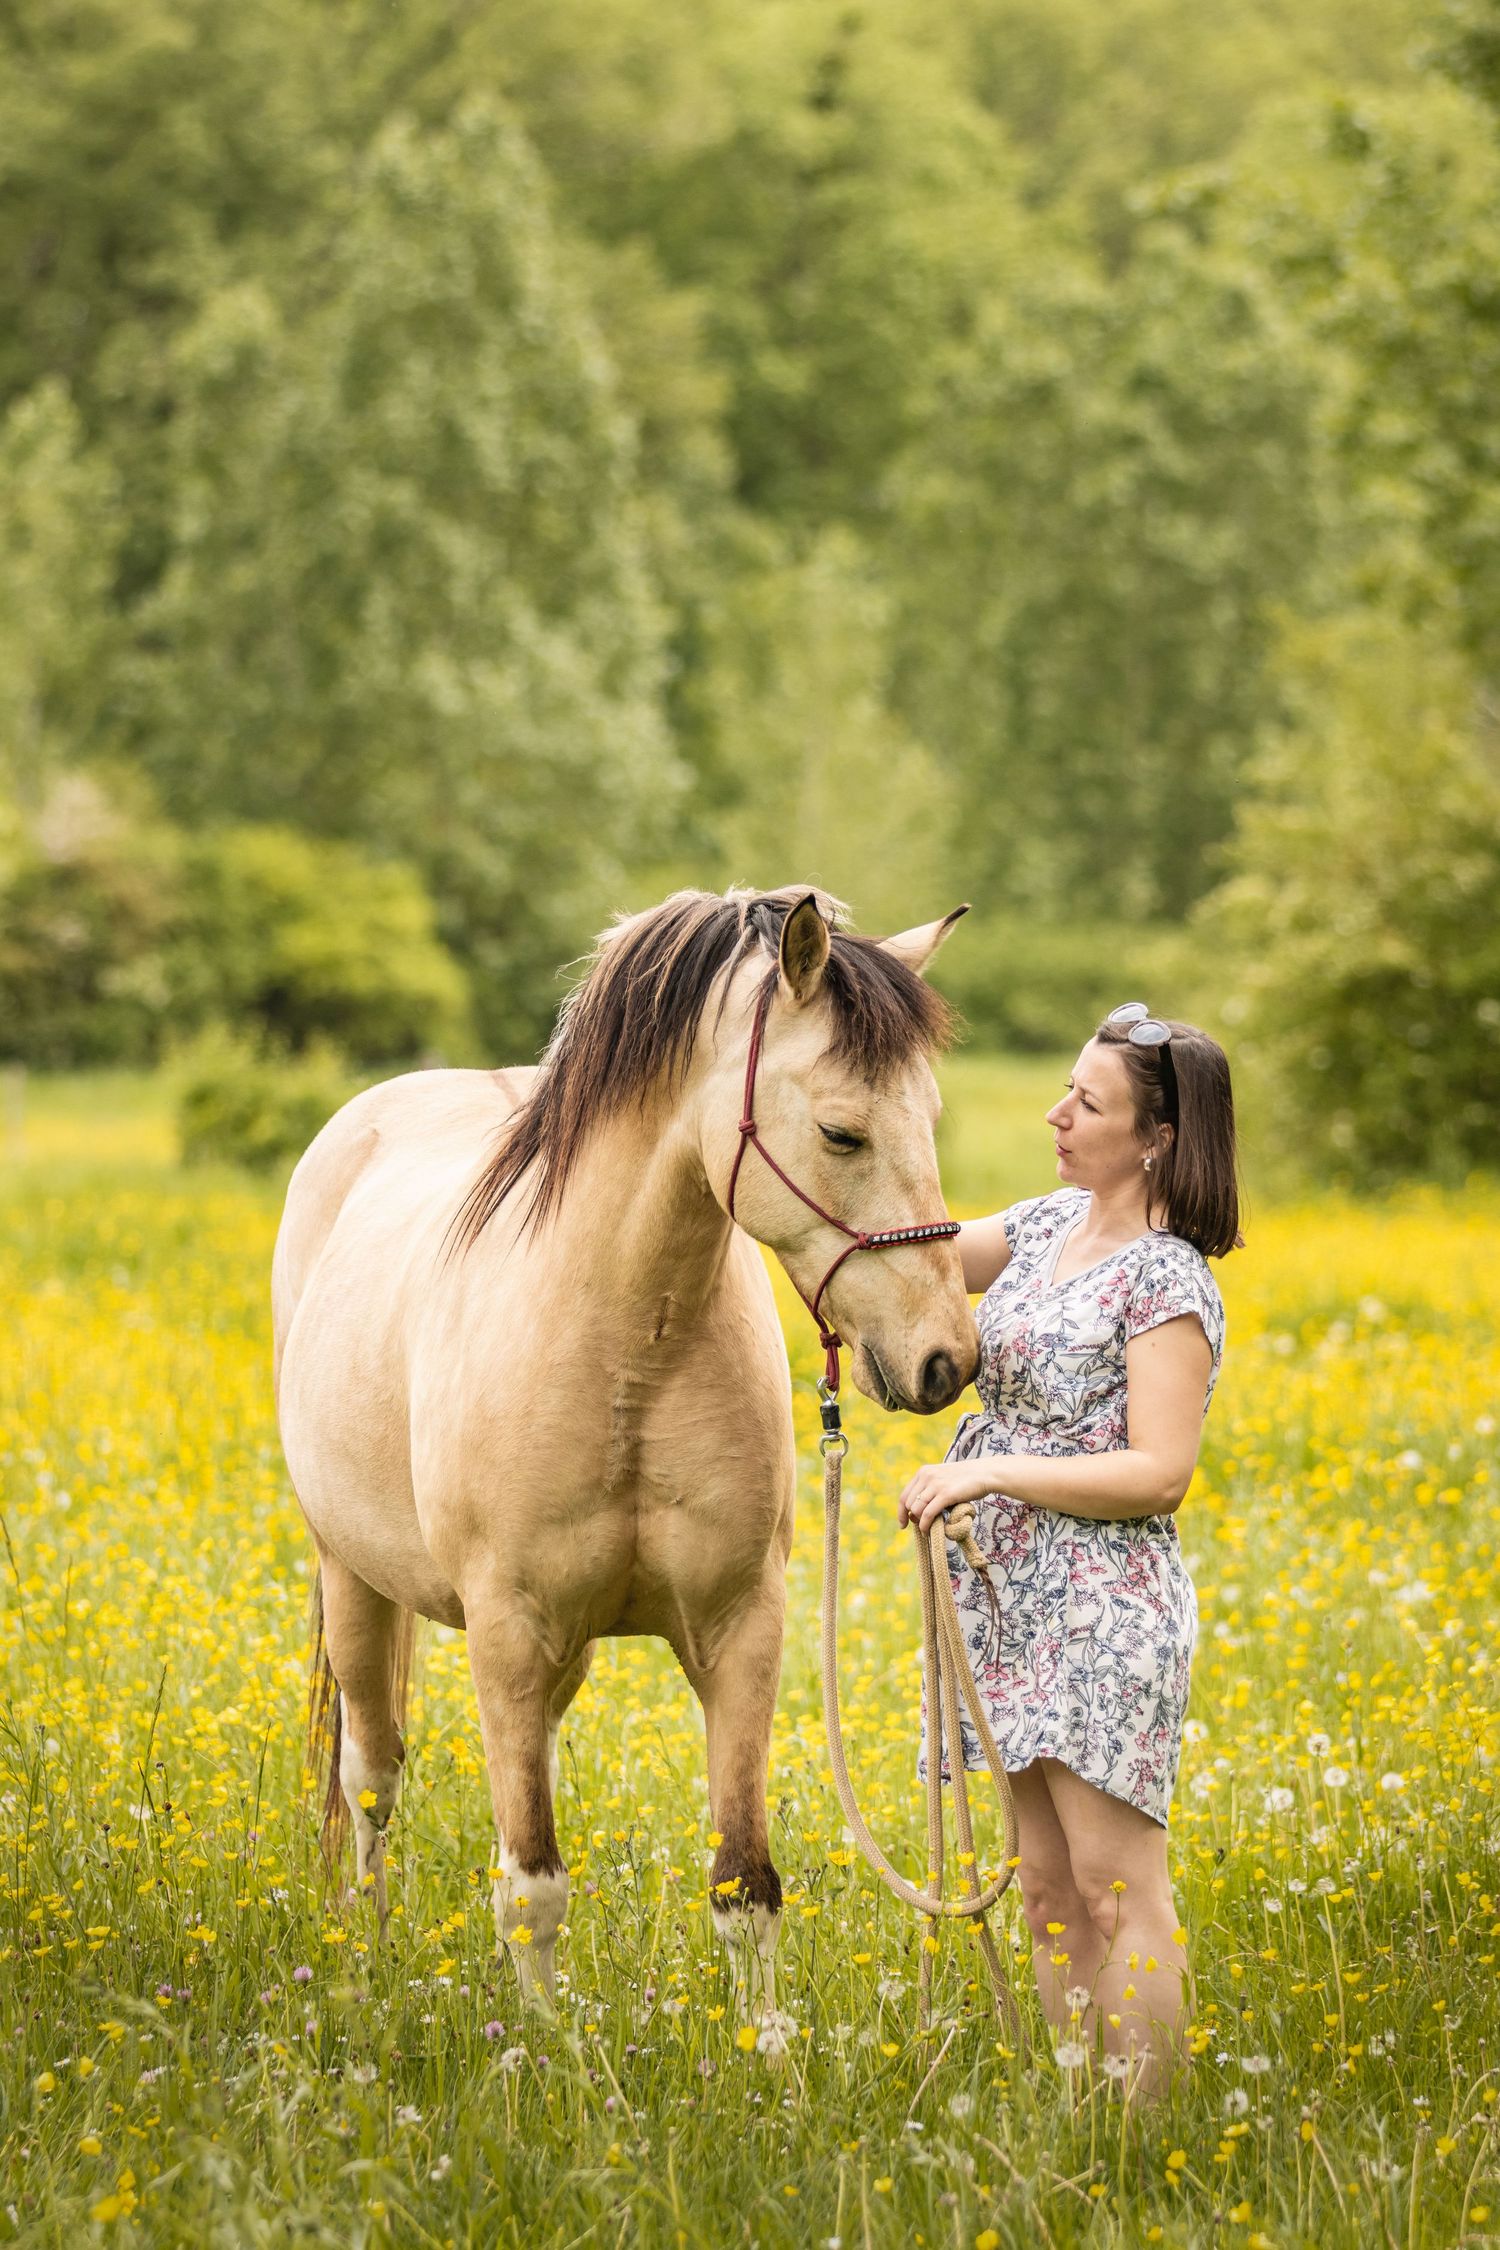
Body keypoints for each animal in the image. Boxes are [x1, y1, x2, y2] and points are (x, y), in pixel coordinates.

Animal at [272, 886, 978, 2043]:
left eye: (931, 1118)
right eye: (841, 1130)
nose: (945, 1360)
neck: (626, 1342)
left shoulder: (740, 1630)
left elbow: (744, 1882)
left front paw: (768, 2055)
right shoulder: (508, 1633)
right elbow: (533, 1884)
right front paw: (550, 2059)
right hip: (355, 1581)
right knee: (372, 1780)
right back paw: (364, 1966)